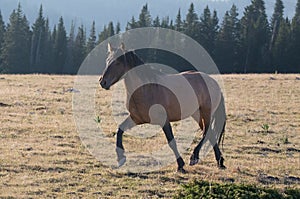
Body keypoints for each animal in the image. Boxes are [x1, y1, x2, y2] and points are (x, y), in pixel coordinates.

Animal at [99, 43, 226, 173]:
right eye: (107, 61)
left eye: (118, 62)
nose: (103, 82)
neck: (147, 89)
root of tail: (214, 83)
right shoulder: (136, 119)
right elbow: (119, 130)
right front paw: (121, 158)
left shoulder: (164, 120)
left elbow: (171, 142)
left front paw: (180, 165)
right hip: (196, 114)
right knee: (210, 133)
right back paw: (219, 162)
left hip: (206, 112)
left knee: (206, 132)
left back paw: (194, 157)